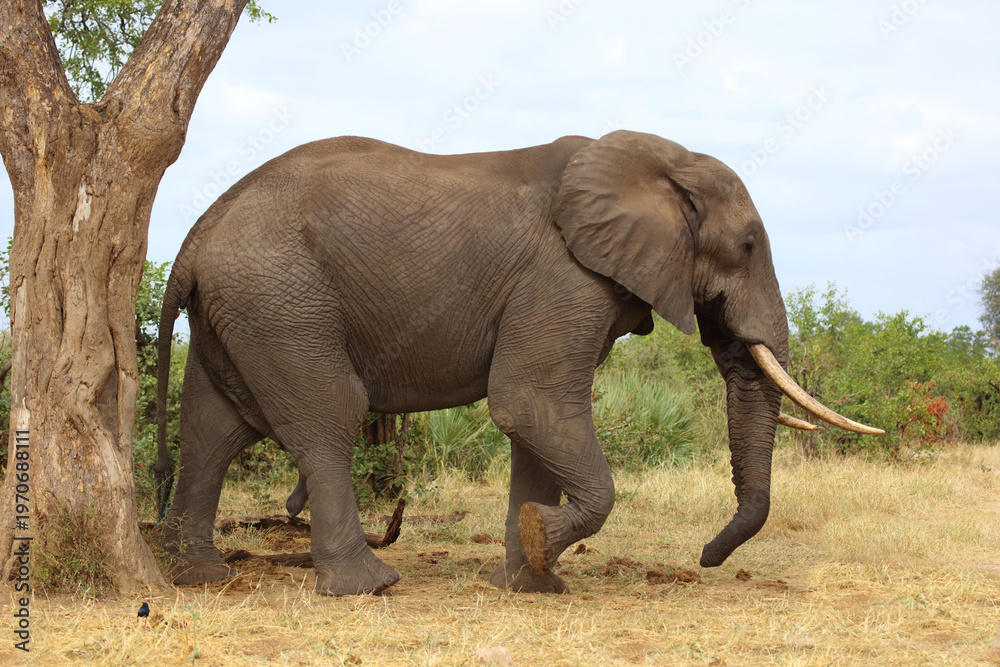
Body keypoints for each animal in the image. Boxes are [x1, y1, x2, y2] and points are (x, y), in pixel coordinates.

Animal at [154, 130, 880, 596]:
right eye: (750, 244)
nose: (705, 558)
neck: (661, 159)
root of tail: (195, 234)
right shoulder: (562, 279)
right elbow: (531, 402)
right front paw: (537, 540)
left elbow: (537, 423)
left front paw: (532, 583)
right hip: (281, 301)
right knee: (328, 418)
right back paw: (369, 587)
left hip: (242, 309)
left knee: (212, 432)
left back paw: (202, 577)